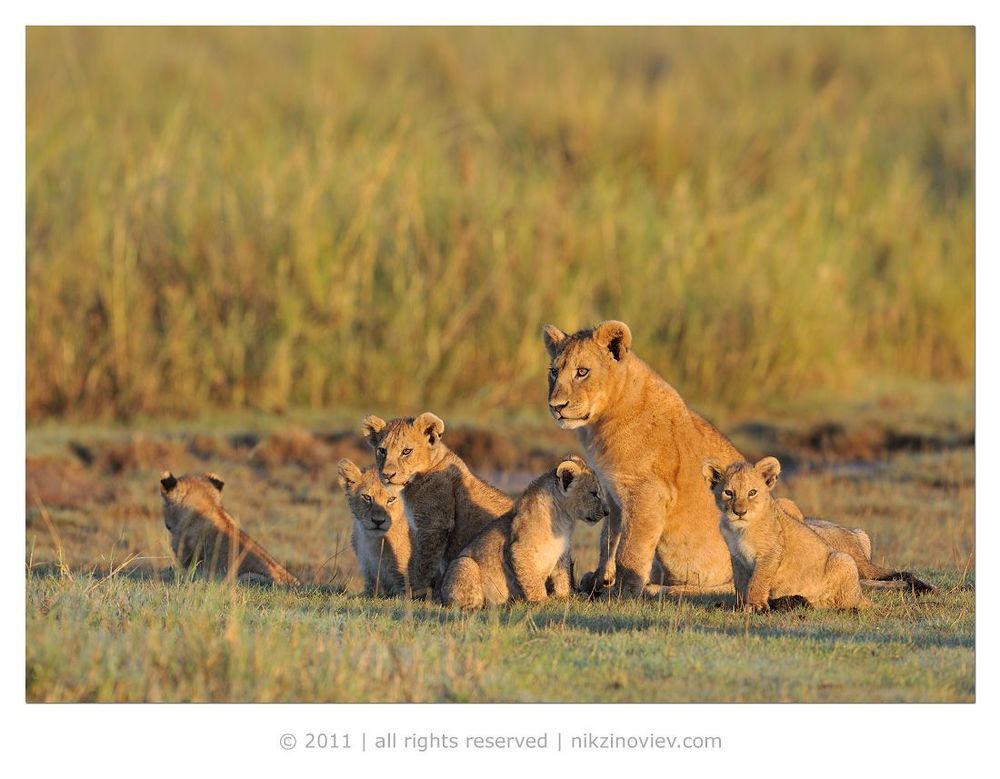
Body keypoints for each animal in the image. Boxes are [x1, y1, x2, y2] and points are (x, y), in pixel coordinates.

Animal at [361, 412, 514, 600]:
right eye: (382, 450)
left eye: (406, 451)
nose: (387, 475)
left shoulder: (433, 526)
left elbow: (423, 562)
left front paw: (415, 593)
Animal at [441, 456, 609, 608]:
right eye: (594, 493)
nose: (607, 511)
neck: (563, 521)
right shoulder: (520, 549)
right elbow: (532, 580)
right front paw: (542, 601)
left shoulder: (562, 553)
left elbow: (563, 576)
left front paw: (565, 596)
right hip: (464, 563)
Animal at [543, 320, 743, 598]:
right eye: (553, 371)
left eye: (582, 372)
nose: (556, 406)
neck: (601, 425)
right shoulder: (612, 492)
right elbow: (608, 539)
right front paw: (599, 579)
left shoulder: (648, 492)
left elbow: (630, 549)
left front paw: (623, 591)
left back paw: (658, 588)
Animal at [702, 456, 869, 610]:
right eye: (729, 492)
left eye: (752, 492)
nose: (739, 512)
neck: (739, 529)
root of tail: (862, 596)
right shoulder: (737, 556)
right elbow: (741, 583)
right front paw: (741, 607)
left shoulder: (770, 552)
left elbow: (758, 581)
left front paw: (756, 606)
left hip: (843, 559)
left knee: (844, 604)